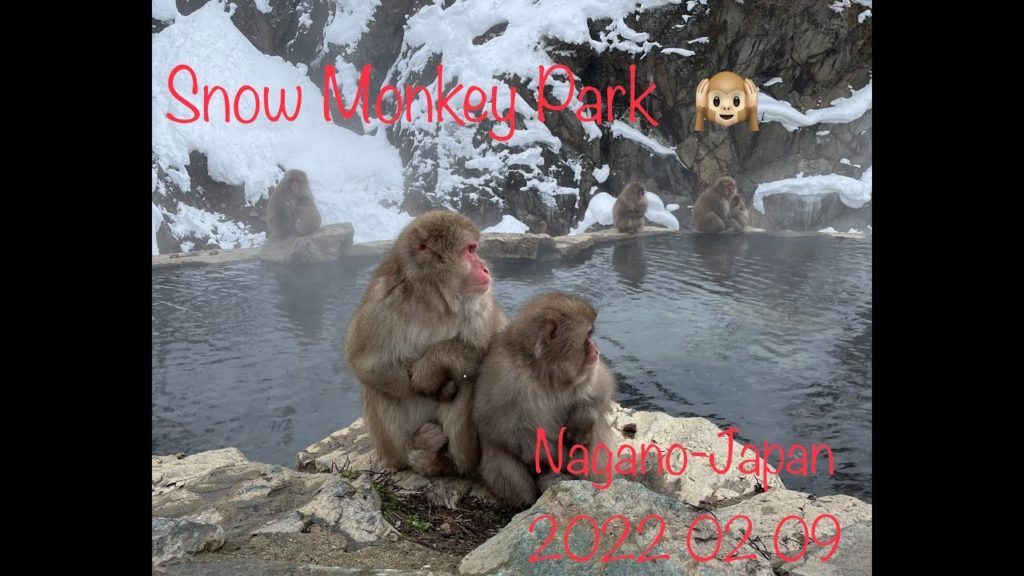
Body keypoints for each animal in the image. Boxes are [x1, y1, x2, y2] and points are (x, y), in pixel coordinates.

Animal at [344, 211, 508, 478]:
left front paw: (431, 368)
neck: (433, 298)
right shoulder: (381, 299)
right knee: (377, 388)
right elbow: (365, 364)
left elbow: (498, 352)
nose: (485, 267)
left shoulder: (481, 303)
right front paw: (431, 383)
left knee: (467, 379)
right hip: (392, 449)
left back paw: (446, 464)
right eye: (469, 250)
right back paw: (417, 445)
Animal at [472, 293, 620, 506]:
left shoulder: (588, 370)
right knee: (501, 457)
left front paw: (583, 416)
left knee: (596, 439)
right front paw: (548, 457)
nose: (597, 351)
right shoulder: (501, 371)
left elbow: (603, 387)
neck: (546, 372)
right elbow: (494, 423)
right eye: (588, 335)